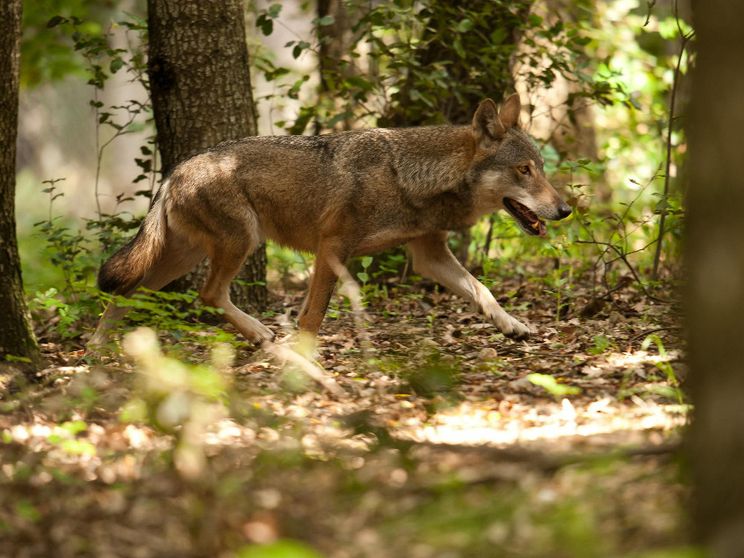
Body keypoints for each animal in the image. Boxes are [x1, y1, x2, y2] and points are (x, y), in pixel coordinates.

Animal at [91, 93, 571, 347]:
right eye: (524, 170)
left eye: (541, 168)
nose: (566, 210)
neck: (412, 176)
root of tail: (175, 169)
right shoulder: (333, 248)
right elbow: (313, 315)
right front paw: (306, 359)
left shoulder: (428, 254)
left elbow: (482, 290)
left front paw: (512, 325)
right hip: (240, 243)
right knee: (207, 295)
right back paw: (261, 334)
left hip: (182, 257)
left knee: (129, 292)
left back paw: (95, 352)